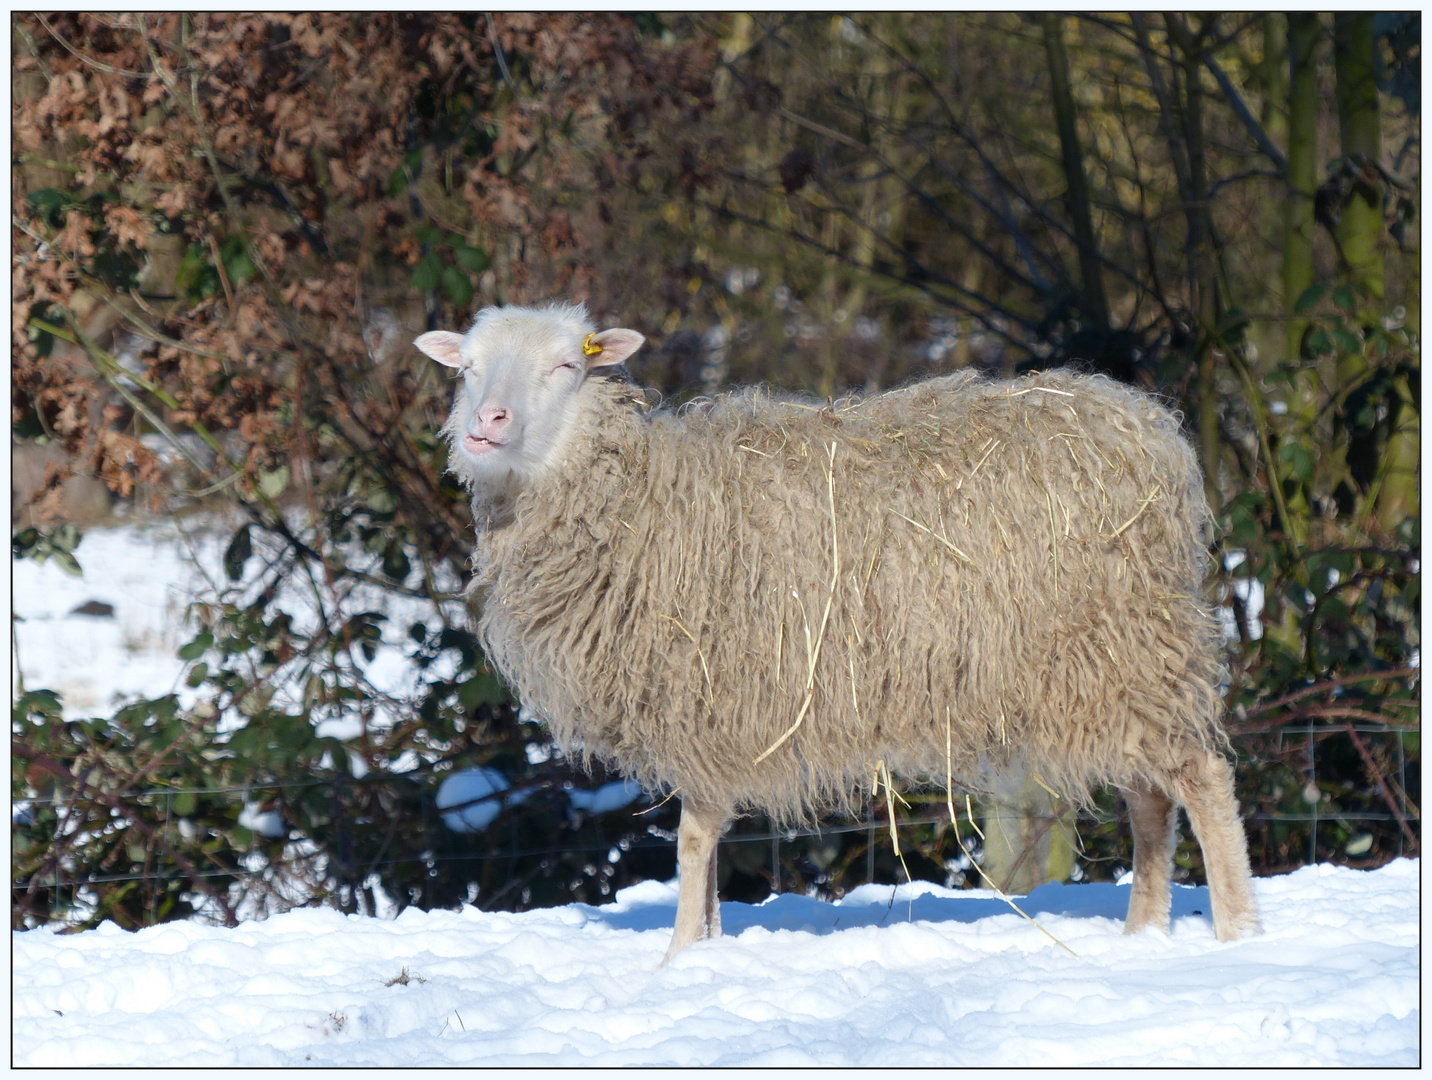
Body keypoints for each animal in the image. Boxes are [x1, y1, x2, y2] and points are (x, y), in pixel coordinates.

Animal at [409, 300, 1260, 956]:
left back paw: (1236, 933)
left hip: (1127, 646)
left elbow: (693, 837)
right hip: (1110, 670)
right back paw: (1144, 934)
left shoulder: (709, 696)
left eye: (566, 366)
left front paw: (680, 956)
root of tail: (1150, 429)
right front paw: (706, 945)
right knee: (1150, 799)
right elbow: (704, 844)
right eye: (467, 368)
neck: (628, 494)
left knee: (1203, 782)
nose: (486, 422)